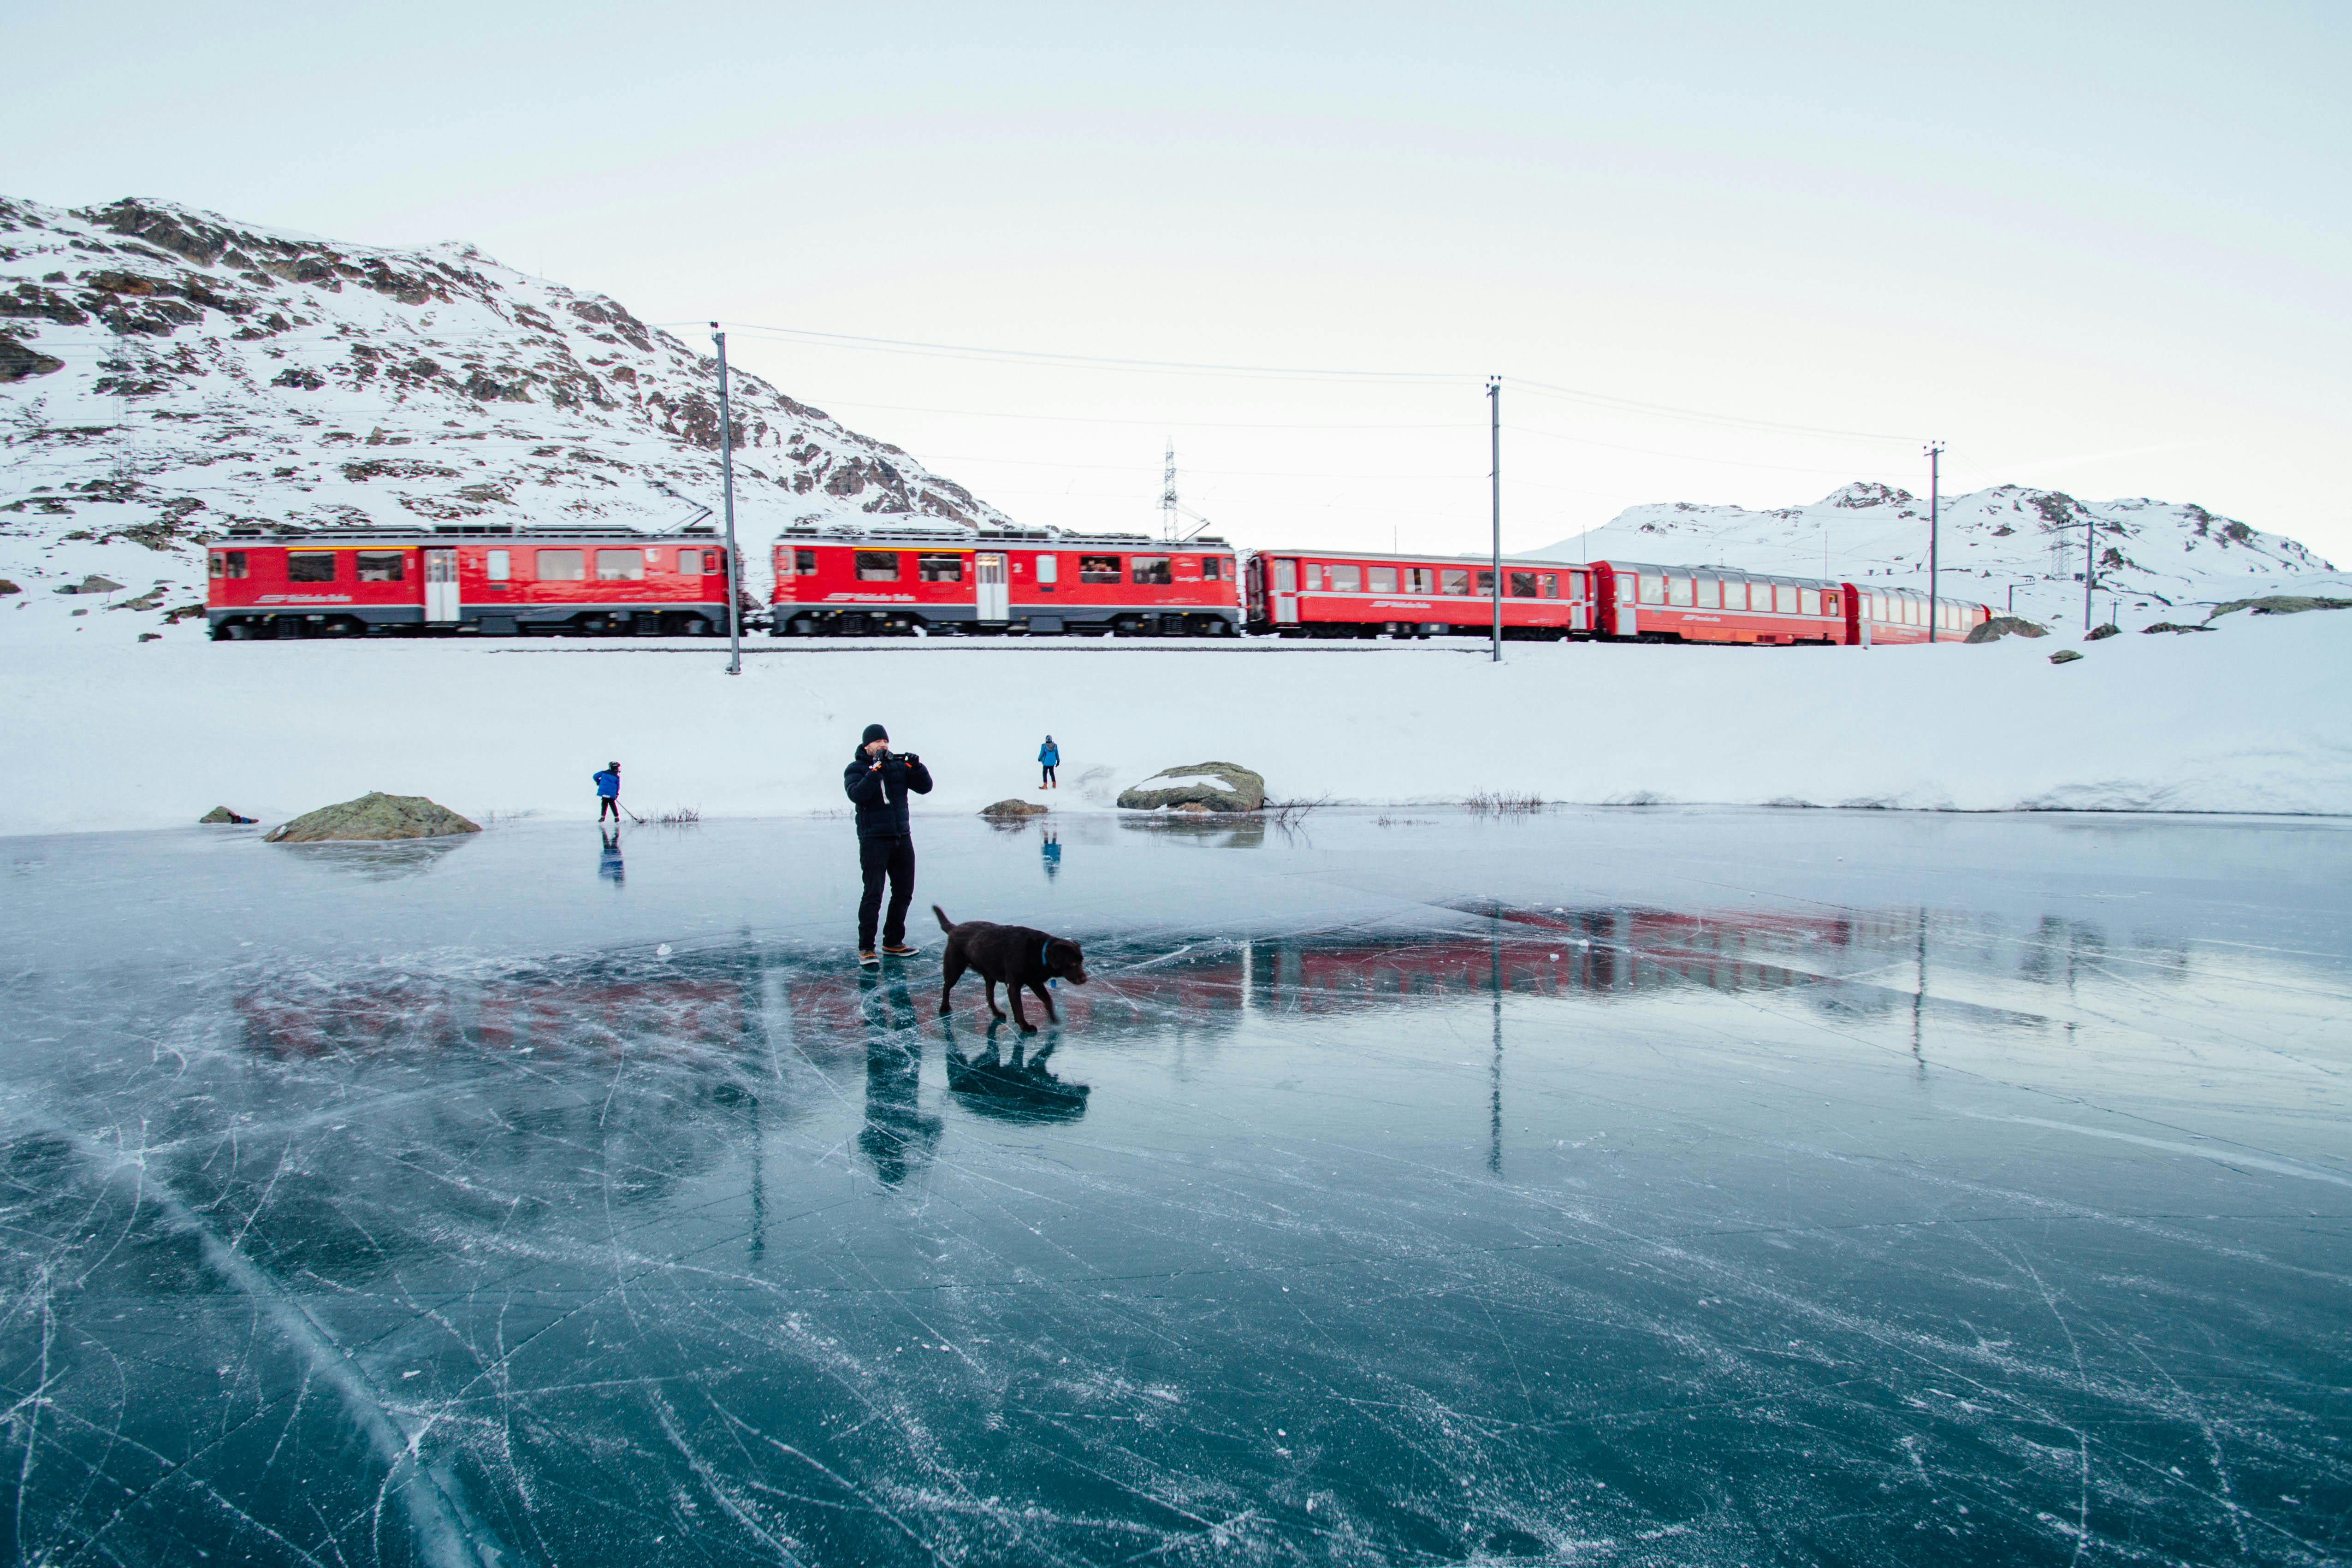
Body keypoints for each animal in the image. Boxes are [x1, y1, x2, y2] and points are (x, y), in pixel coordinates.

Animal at [931, 902, 1086, 1034]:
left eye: (1081, 961)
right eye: (1072, 963)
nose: (1085, 979)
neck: (1039, 952)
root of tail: (954, 928)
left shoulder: (1035, 982)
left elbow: (1048, 999)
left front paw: (1054, 1019)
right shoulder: (1014, 985)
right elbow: (1019, 1008)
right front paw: (1025, 1026)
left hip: (990, 976)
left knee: (989, 996)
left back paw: (997, 1013)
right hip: (954, 969)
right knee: (946, 987)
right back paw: (944, 1007)